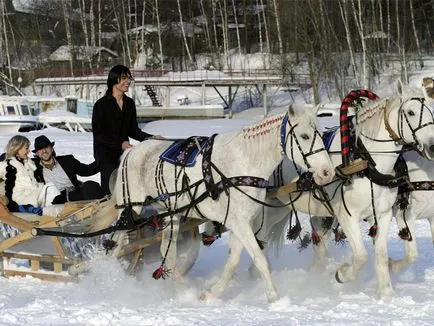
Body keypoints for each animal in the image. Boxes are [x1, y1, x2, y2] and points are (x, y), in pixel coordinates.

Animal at [112, 105, 336, 304]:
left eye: (320, 134)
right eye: (305, 136)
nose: (327, 172)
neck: (244, 163)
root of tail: (131, 151)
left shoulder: (240, 222)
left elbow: (233, 261)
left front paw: (210, 294)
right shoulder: (240, 223)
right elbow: (259, 258)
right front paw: (274, 297)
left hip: (172, 214)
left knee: (168, 253)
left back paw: (181, 291)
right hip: (130, 209)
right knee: (116, 243)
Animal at [258, 83, 434, 296]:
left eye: (431, 111)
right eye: (410, 112)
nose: (433, 146)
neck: (365, 160)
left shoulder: (382, 214)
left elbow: (382, 256)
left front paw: (386, 294)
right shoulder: (350, 216)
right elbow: (362, 256)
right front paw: (342, 274)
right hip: (268, 211)